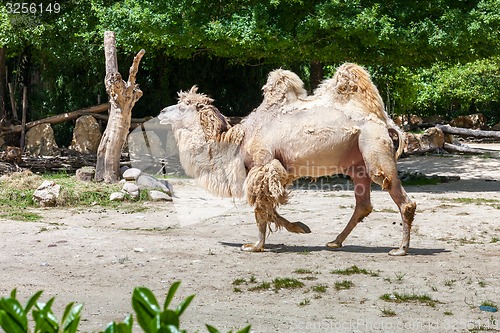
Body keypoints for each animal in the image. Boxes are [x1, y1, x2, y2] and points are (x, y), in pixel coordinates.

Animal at [158, 63, 416, 255]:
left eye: (183, 106)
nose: (160, 112)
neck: (238, 138)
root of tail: (386, 121)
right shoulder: (275, 169)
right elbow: (269, 206)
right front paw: (300, 227)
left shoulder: (263, 164)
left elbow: (261, 207)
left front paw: (255, 246)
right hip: (357, 163)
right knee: (363, 204)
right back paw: (335, 242)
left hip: (374, 148)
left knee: (402, 199)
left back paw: (400, 249)